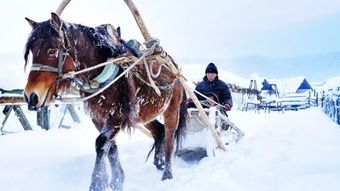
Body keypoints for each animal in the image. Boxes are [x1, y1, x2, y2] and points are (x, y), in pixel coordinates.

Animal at [23, 12, 187, 190]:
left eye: (52, 51)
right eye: (32, 52)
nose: (31, 96)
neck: (101, 72)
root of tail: (174, 67)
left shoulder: (117, 116)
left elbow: (101, 142)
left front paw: (97, 182)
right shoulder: (98, 117)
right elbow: (111, 146)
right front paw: (116, 180)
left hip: (172, 109)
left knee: (169, 137)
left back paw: (167, 174)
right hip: (142, 114)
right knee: (159, 131)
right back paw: (159, 162)